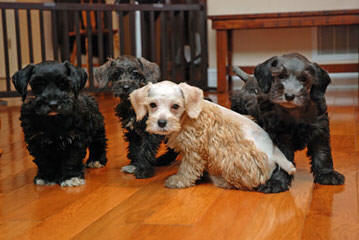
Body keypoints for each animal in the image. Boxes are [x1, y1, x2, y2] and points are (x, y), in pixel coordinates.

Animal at [129, 81, 296, 190]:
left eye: (175, 106)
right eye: (152, 105)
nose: (161, 122)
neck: (186, 117)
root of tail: (274, 153)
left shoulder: (194, 150)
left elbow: (187, 168)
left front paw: (179, 180)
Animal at [231, 53, 346, 193]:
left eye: (304, 79)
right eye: (280, 76)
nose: (290, 95)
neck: (294, 112)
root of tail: (249, 78)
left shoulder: (319, 131)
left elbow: (322, 153)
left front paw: (327, 174)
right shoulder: (280, 138)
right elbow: (282, 160)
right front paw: (276, 182)